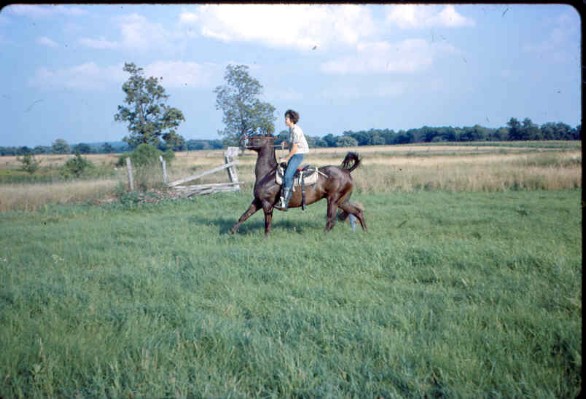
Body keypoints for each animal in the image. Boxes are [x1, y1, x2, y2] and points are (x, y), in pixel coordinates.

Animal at [228, 134, 364, 236]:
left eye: (257, 137)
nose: (243, 140)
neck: (267, 174)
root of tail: (346, 171)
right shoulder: (257, 201)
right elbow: (244, 216)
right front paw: (231, 232)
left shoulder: (267, 204)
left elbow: (267, 223)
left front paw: (265, 238)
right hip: (342, 201)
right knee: (357, 212)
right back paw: (365, 231)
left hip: (333, 200)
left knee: (331, 220)